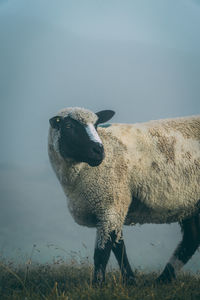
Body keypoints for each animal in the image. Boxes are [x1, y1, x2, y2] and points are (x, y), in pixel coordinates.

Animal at [48, 106, 200, 284]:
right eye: (68, 126)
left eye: (97, 125)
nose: (99, 151)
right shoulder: (115, 206)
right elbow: (119, 247)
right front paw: (130, 280)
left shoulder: (111, 204)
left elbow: (102, 252)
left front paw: (98, 284)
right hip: (190, 203)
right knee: (192, 238)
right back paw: (163, 279)